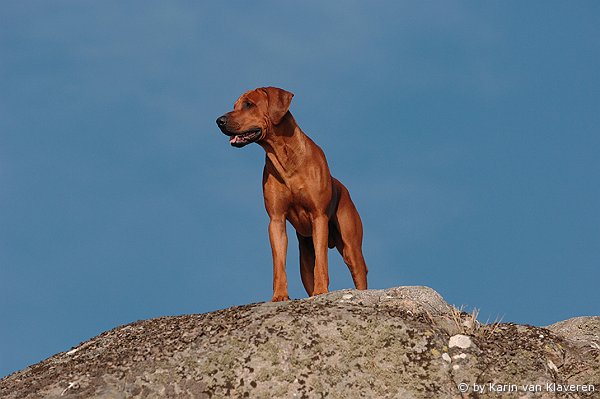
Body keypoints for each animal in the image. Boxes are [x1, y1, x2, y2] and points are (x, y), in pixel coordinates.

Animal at [216, 86, 366, 302]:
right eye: (234, 105)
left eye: (248, 104)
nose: (219, 120)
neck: (286, 158)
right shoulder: (276, 220)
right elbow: (279, 264)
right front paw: (279, 295)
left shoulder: (318, 216)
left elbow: (322, 263)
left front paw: (321, 291)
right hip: (305, 257)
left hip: (351, 248)